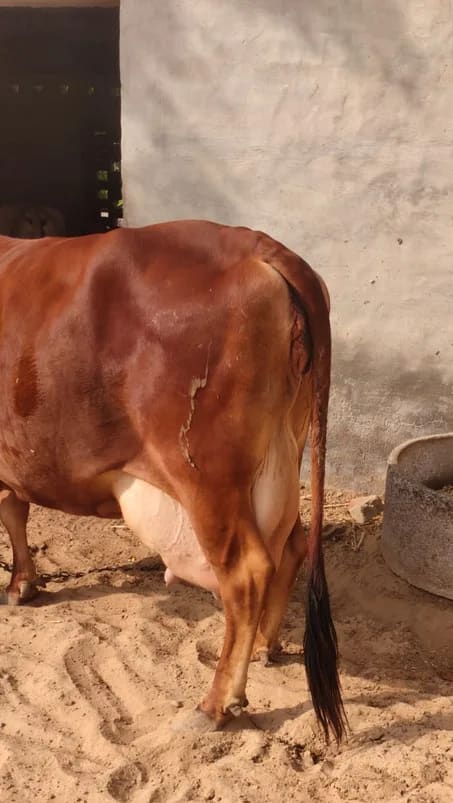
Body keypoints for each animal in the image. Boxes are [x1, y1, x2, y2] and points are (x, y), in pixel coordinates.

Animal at [0, 220, 346, 742]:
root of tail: (258, 244)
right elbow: (14, 509)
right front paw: (24, 583)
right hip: (284, 451)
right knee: (290, 545)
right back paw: (264, 648)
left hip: (206, 477)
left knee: (246, 573)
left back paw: (215, 705)